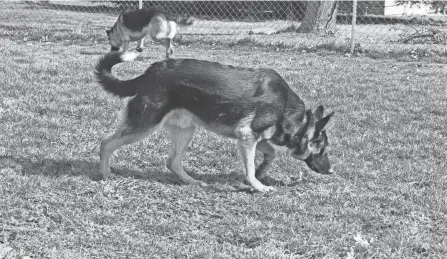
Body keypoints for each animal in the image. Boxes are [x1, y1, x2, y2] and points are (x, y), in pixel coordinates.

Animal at [95, 51, 336, 193]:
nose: (332, 172)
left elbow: (271, 153)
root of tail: (149, 73)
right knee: (106, 143)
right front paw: (257, 185)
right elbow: (249, 167)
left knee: (172, 162)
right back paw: (106, 174)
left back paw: (192, 182)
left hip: (186, 130)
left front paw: (261, 172)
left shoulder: (253, 137)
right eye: (323, 149)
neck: (290, 111)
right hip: (144, 125)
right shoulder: (247, 136)